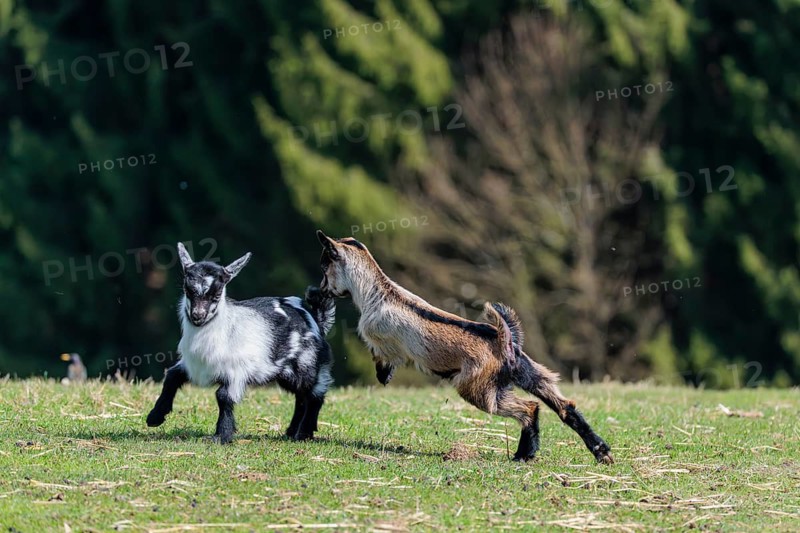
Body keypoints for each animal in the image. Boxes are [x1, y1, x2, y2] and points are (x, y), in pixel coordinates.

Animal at [146, 243, 335, 443]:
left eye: (217, 294)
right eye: (187, 290)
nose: (198, 316)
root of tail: (316, 319)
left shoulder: (236, 371)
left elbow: (223, 397)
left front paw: (222, 435)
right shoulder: (193, 365)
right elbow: (171, 377)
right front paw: (154, 417)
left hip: (307, 364)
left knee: (315, 394)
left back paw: (304, 433)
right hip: (286, 373)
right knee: (301, 397)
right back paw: (292, 431)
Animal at [316, 231, 613, 463]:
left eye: (325, 266)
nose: (320, 291)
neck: (379, 292)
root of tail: (504, 342)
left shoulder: (380, 340)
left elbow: (381, 356)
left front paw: (383, 375)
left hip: (478, 389)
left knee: (529, 408)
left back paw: (523, 454)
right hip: (531, 375)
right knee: (563, 406)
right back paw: (600, 452)